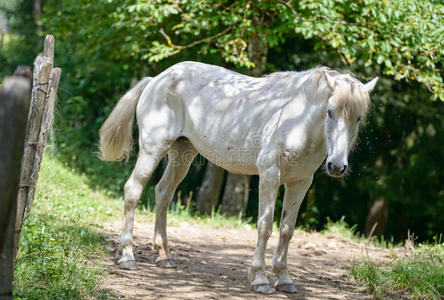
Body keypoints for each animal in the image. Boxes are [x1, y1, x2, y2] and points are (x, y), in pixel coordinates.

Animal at [99, 61, 376, 296]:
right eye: (329, 111)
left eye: (358, 118)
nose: (337, 166)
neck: (297, 123)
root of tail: (157, 79)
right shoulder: (269, 176)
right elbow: (265, 227)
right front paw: (260, 280)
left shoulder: (300, 183)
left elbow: (287, 230)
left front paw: (284, 279)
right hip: (152, 150)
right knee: (133, 190)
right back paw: (127, 257)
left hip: (182, 153)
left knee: (163, 193)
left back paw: (164, 256)